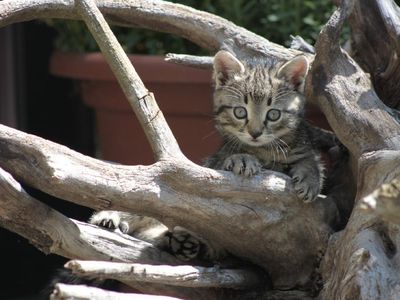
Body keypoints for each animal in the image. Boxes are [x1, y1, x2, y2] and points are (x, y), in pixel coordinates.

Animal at [89, 50, 324, 262]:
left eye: (273, 114)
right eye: (240, 112)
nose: (255, 133)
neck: (263, 150)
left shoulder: (300, 146)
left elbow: (310, 160)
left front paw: (310, 178)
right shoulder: (212, 171)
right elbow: (227, 162)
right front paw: (242, 158)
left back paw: (181, 243)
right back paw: (108, 218)